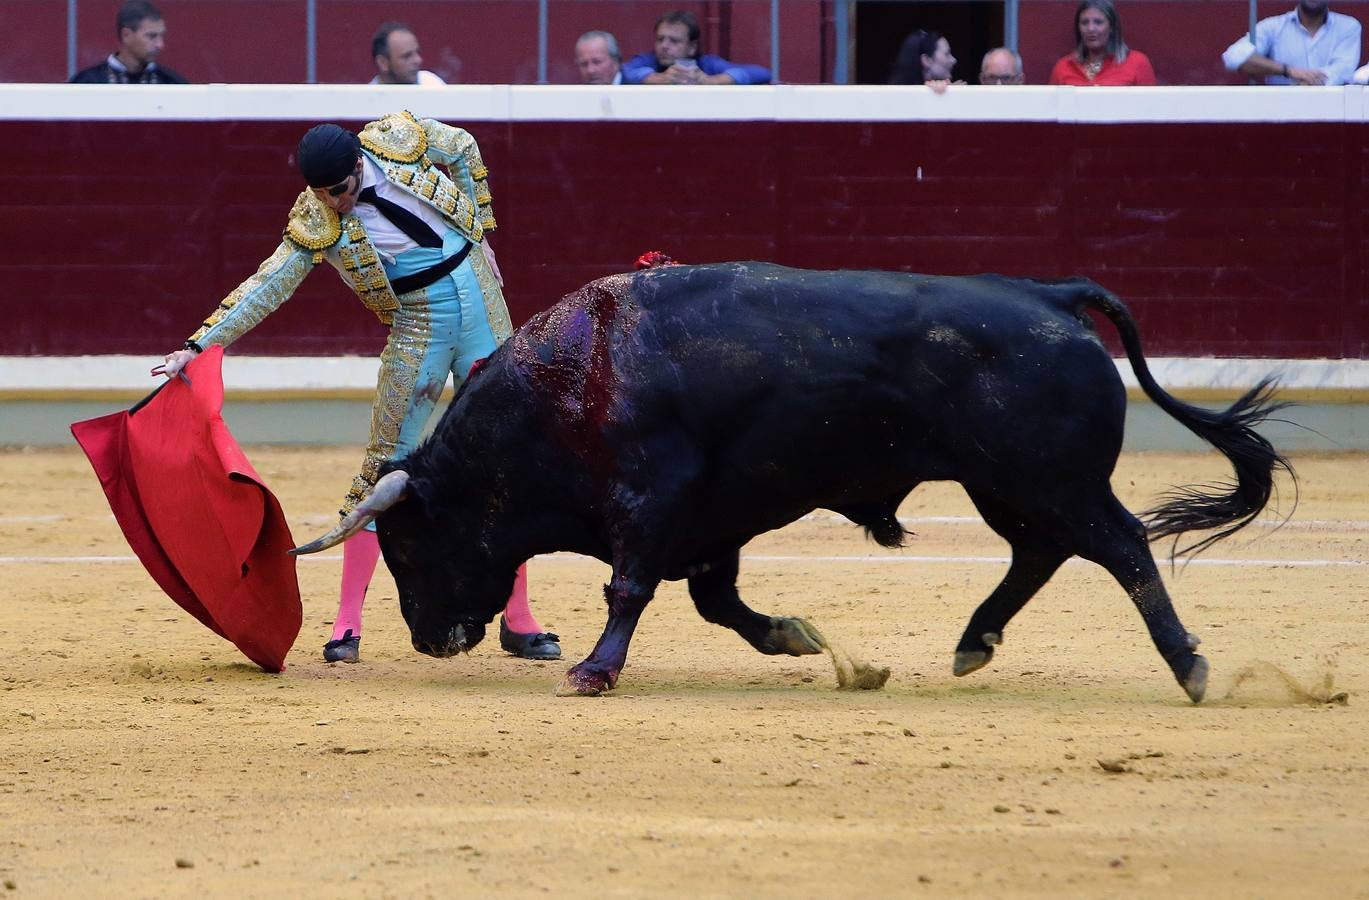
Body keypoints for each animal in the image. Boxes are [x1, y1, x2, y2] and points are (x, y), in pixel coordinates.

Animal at [291, 260, 1292, 701]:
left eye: (409, 543)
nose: (430, 642)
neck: (573, 377)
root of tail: (1048, 296)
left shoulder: (650, 502)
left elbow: (629, 588)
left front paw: (593, 671)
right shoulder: (709, 523)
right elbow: (715, 602)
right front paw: (797, 638)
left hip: (1052, 479)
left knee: (1119, 546)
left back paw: (1190, 666)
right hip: (1006, 486)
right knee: (1040, 554)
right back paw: (972, 643)